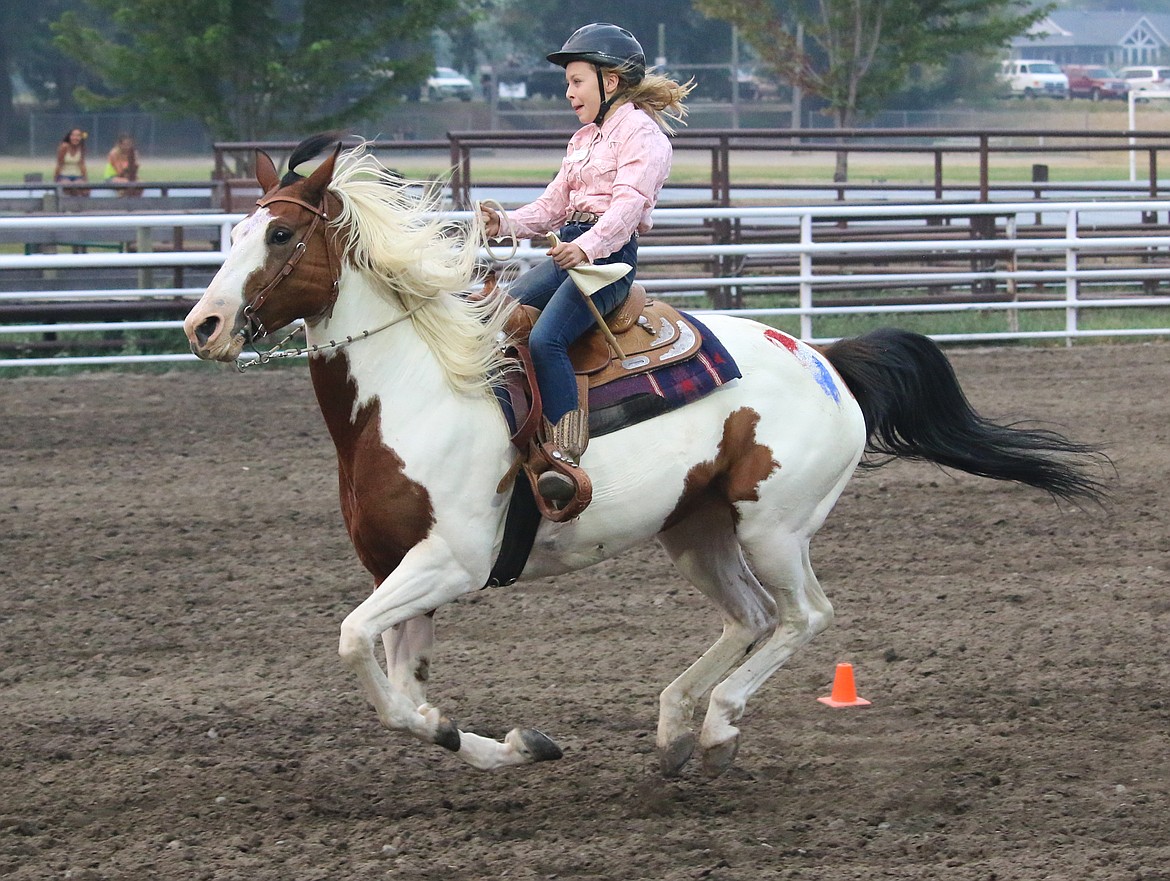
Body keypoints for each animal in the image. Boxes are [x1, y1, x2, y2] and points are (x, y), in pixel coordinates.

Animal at [184, 133, 1104, 772]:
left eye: (279, 234)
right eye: (238, 229)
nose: (203, 325)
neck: (417, 387)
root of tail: (823, 357)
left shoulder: (452, 561)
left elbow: (351, 642)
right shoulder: (403, 571)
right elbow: (403, 699)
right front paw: (510, 743)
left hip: (775, 527)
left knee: (803, 615)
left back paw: (719, 725)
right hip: (696, 530)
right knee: (751, 617)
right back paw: (673, 729)